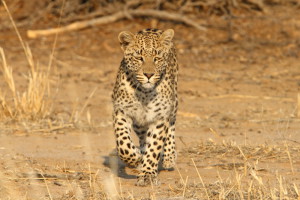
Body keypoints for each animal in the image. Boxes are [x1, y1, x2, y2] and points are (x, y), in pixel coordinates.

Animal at [112, 28, 178, 186]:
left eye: (157, 57)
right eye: (139, 57)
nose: (149, 74)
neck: (144, 92)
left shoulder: (160, 117)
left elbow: (154, 146)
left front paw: (147, 174)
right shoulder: (122, 111)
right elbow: (123, 144)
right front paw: (136, 158)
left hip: (173, 104)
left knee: (171, 126)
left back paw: (169, 157)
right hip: (139, 123)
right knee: (143, 137)